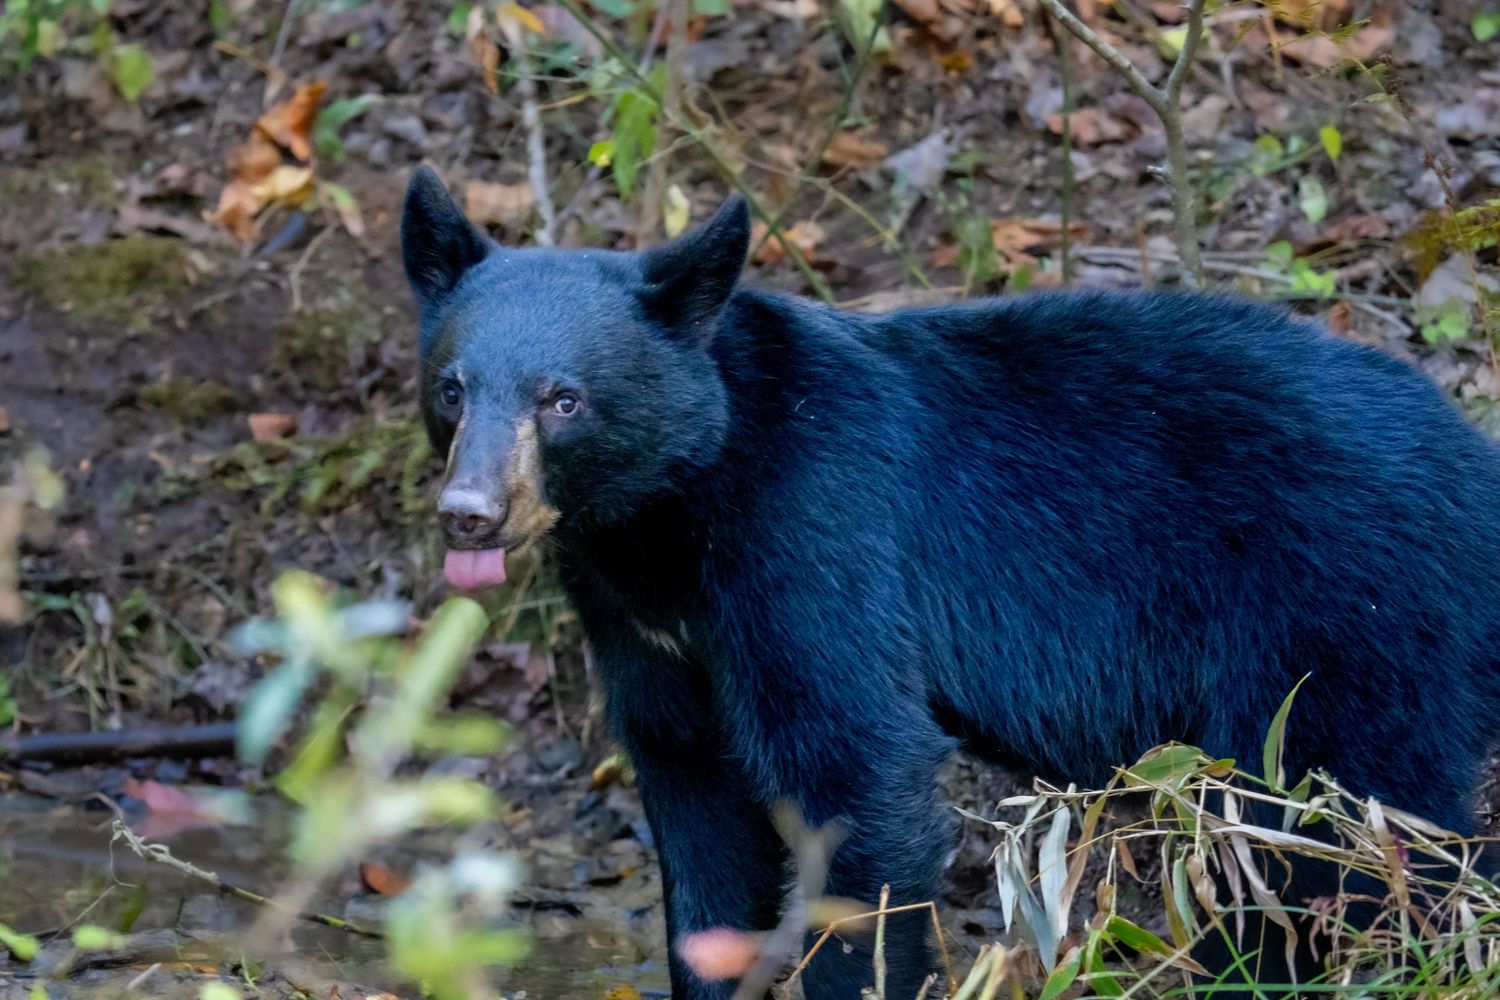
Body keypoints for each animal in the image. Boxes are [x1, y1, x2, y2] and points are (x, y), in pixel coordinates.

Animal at [399, 164, 1500, 999]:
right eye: (451, 388)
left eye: (564, 399)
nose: (469, 512)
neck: (665, 517)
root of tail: (1477, 464)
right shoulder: (643, 626)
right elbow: (696, 804)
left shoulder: (811, 539)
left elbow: (857, 773)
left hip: (1348, 622)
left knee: (1342, 833)